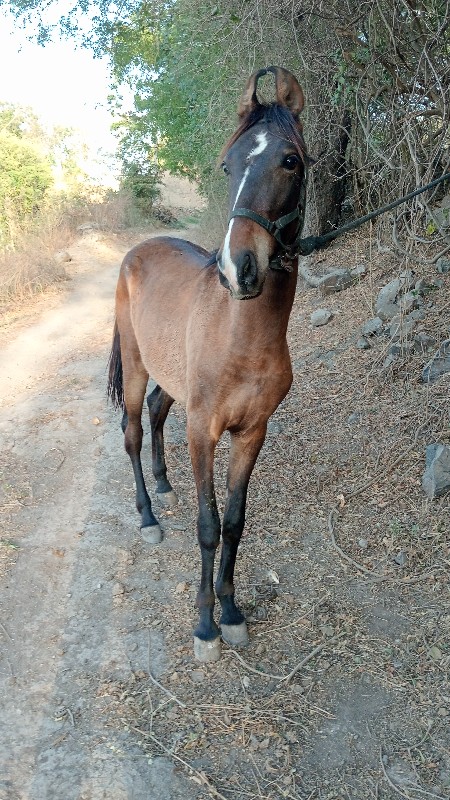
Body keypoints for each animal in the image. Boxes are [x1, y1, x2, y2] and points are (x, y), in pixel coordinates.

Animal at [108, 64, 310, 664]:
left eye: (290, 161)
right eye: (229, 165)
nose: (238, 268)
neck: (243, 337)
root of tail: (138, 251)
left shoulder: (251, 432)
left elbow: (236, 523)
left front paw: (232, 612)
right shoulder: (204, 430)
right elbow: (208, 524)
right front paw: (204, 626)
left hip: (169, 380)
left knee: (155, 412)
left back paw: (163, 485)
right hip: (136, 365)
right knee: (132, 428)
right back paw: (148, 516)